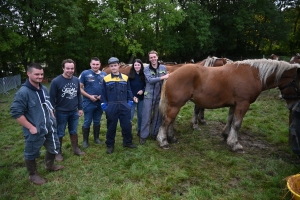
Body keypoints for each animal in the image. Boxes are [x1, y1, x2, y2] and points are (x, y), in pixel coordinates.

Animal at [157, 59, 300, 152]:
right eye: (298, 84)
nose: (293, 106)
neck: (254, 74)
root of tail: (171, 74)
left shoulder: (234, 104)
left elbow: (230, 120)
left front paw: (226, 135)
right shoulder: (243, 104)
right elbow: (237, 124)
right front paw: (234, 144)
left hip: (176, 104)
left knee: (171, 120)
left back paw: (171, 137)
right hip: (176, 105)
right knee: (167, 120)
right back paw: (163, 141)